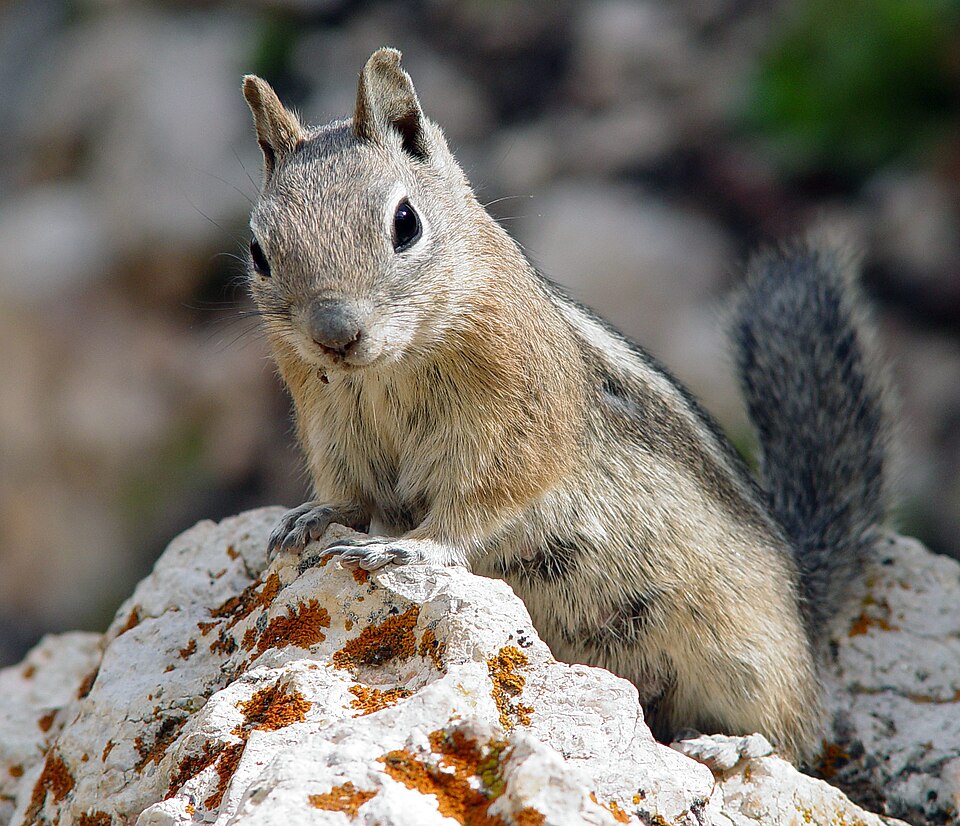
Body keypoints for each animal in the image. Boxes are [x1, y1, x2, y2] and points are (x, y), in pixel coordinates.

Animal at [240, 48, 888, 764]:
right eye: (259, 252)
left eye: (405, 224)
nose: (335, 334)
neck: (388, 370)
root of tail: (806, 604)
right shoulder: (329, 429)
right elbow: (350, 497)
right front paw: (313, 517)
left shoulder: (519, 427)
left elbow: (484, 503)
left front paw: (412, 549)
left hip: (747, 658)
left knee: (793, 733)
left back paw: (727, 746)